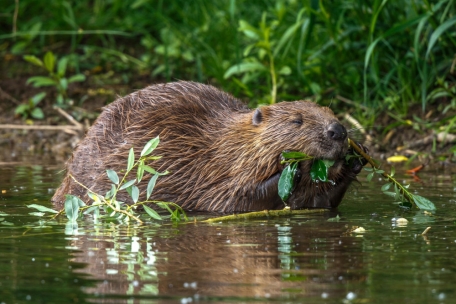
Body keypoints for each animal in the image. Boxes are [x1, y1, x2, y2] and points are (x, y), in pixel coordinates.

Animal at [52, 81, 366, 214]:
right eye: (297, 120)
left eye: (330, 111)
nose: (338, 130)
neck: (225, 145)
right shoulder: (204, 170)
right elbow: (230, 199)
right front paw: (293, 168)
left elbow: (320, 202)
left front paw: (356, 159)